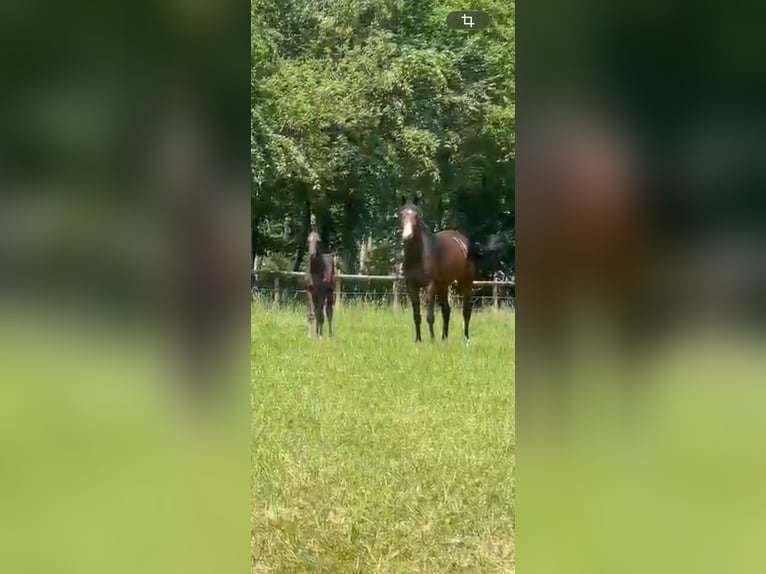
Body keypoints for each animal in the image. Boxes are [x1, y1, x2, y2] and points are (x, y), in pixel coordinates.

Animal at [399, 195, 502, 345]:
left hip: (466, 282)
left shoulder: (430, 286)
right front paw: (418, 340)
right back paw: (444, 339)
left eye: (417, 215)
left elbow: (430, 316)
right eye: (401, 214)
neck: (418, 257)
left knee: (466, 311)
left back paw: (466, 340)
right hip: (443, 286)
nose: (407, 235)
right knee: (446, 311)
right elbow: (416, 316)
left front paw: (432, 340)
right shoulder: (411, 286)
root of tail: (466, 243)